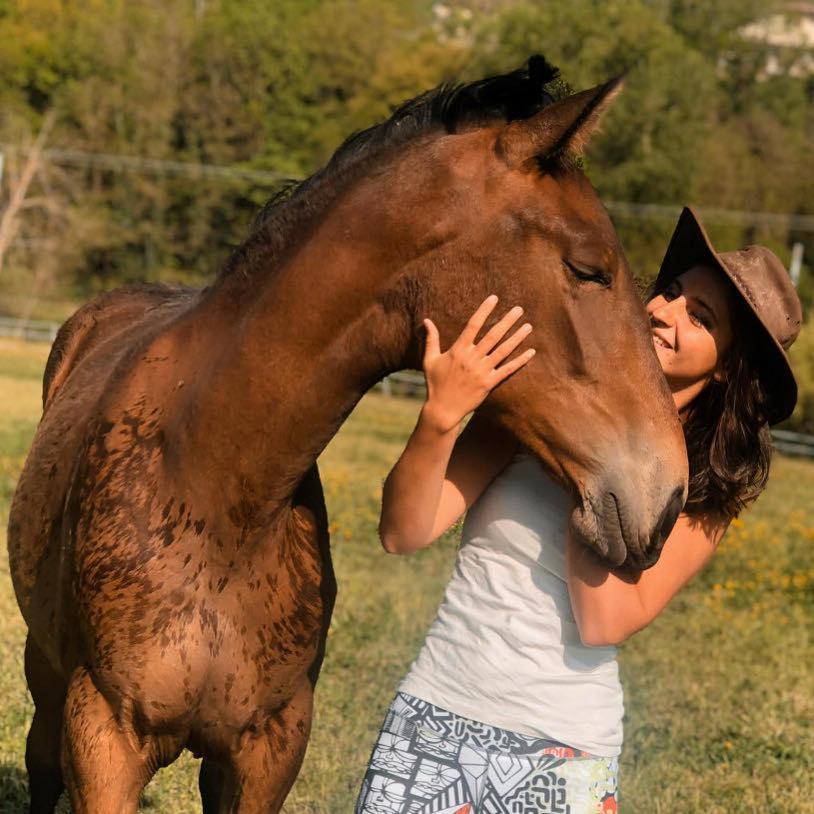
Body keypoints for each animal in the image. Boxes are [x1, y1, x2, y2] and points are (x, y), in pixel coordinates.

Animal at [9, 59, 688, 814]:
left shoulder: (269, 749)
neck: (212, 486)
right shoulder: (104, 736)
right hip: (47, 680)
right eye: (587, 268)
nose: (667, 497)